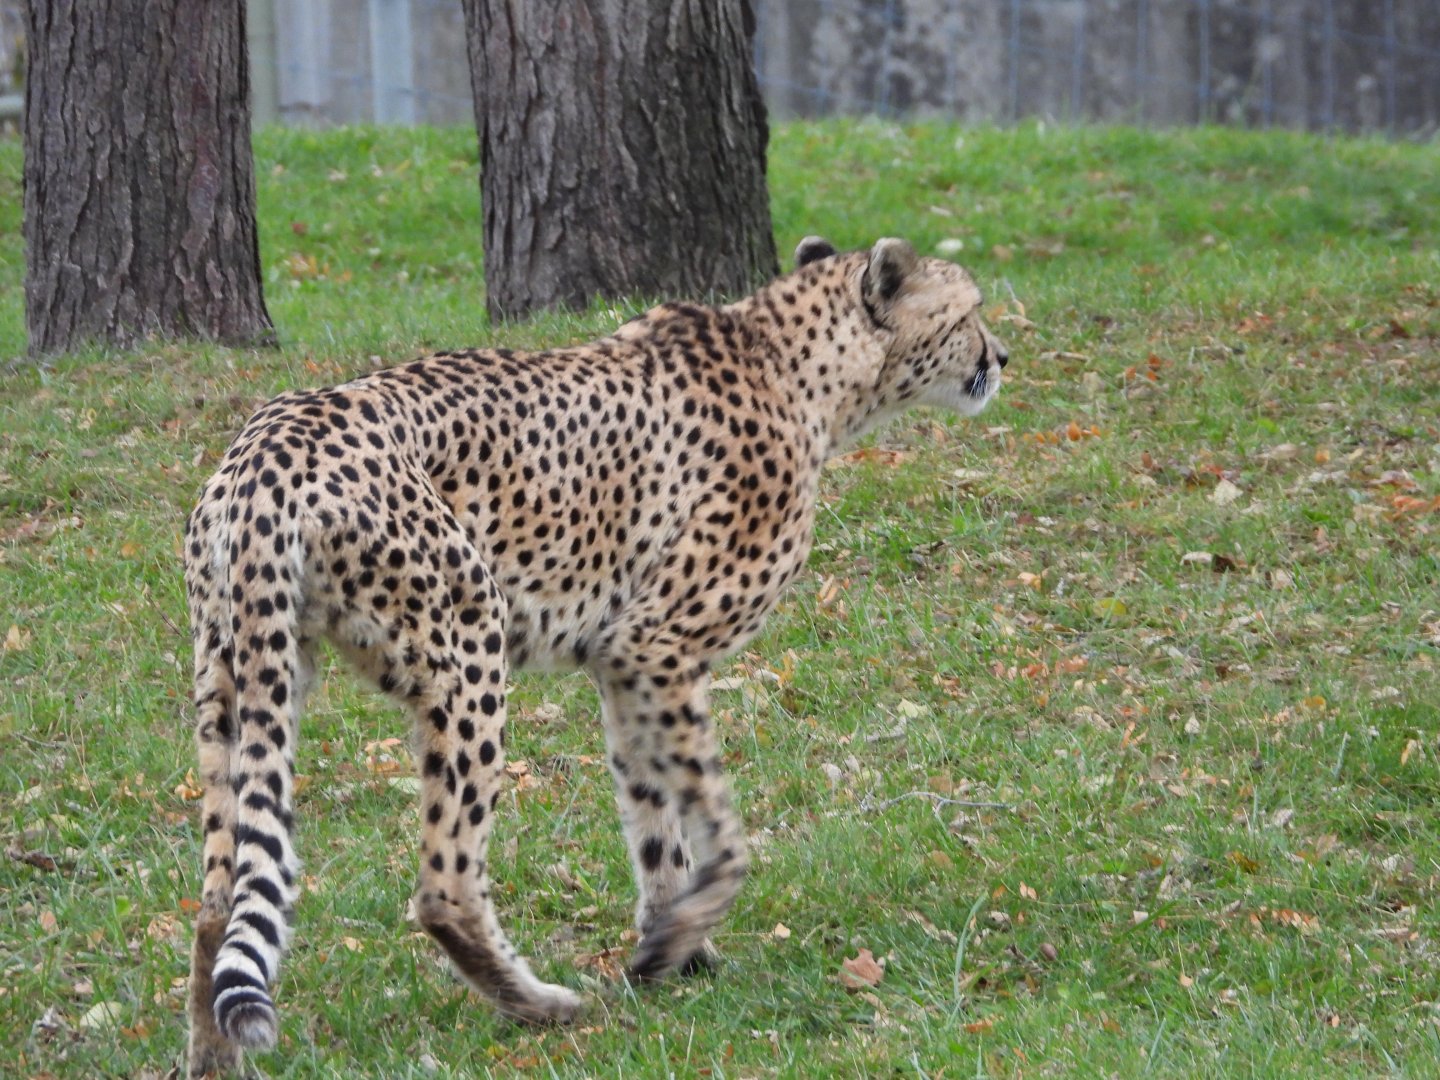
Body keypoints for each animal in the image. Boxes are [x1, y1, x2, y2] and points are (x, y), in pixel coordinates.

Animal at [182, 235, 1008, 1074]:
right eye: (969, 311)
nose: (1000, 355)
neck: (799, 365)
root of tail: (271, 444)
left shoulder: (623, 662)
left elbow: (653, 812)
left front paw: (675, 949)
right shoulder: (657, 641)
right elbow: (716, 822)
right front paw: (686, 933)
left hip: (239, 684)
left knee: (220, 899)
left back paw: (213, 1056)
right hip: (468, 645)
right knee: (443, 884)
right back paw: (539, 1005)